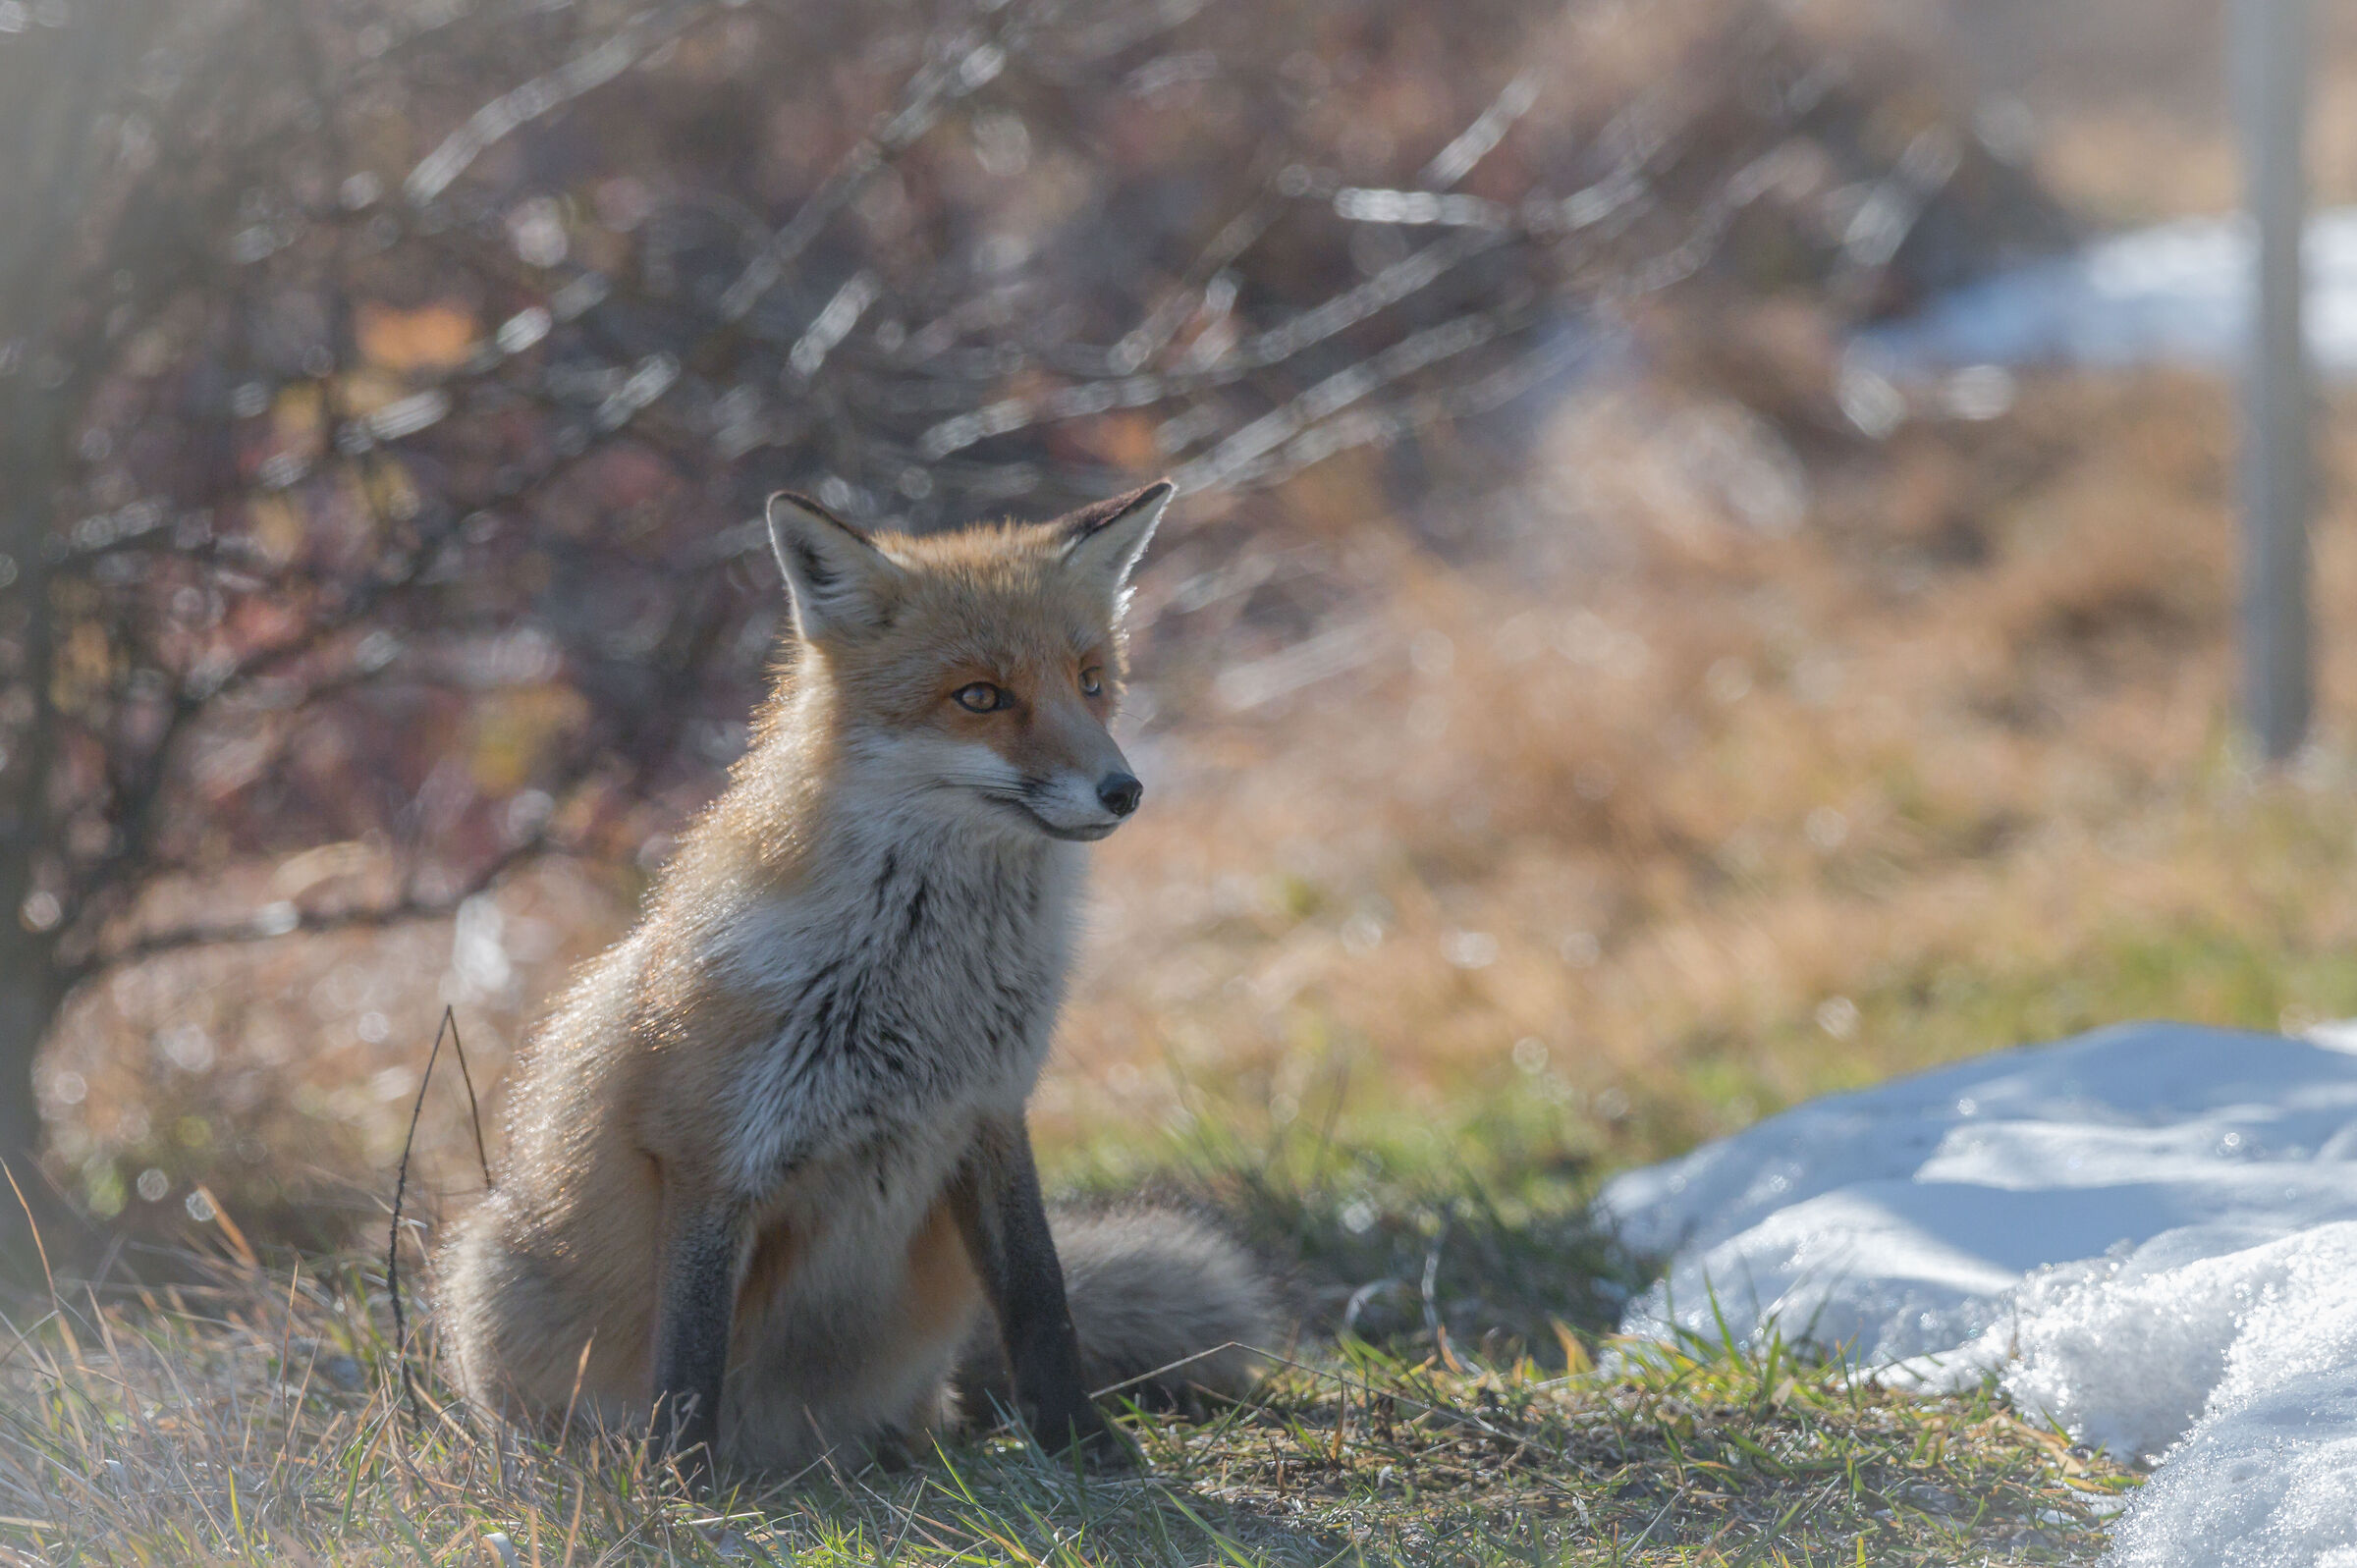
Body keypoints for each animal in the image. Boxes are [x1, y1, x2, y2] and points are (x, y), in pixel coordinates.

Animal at [434, 480, 1275, 1484]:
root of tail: (794, 1449)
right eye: (980, 696)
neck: (927, 985)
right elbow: (689, 1357)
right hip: (490, 1276)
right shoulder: (709, 1152)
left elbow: (1043, 1298)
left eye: (1091, 680)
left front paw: (1080, 1439)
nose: (1124, 789)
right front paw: (684, 1488)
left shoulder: (989, 1111)